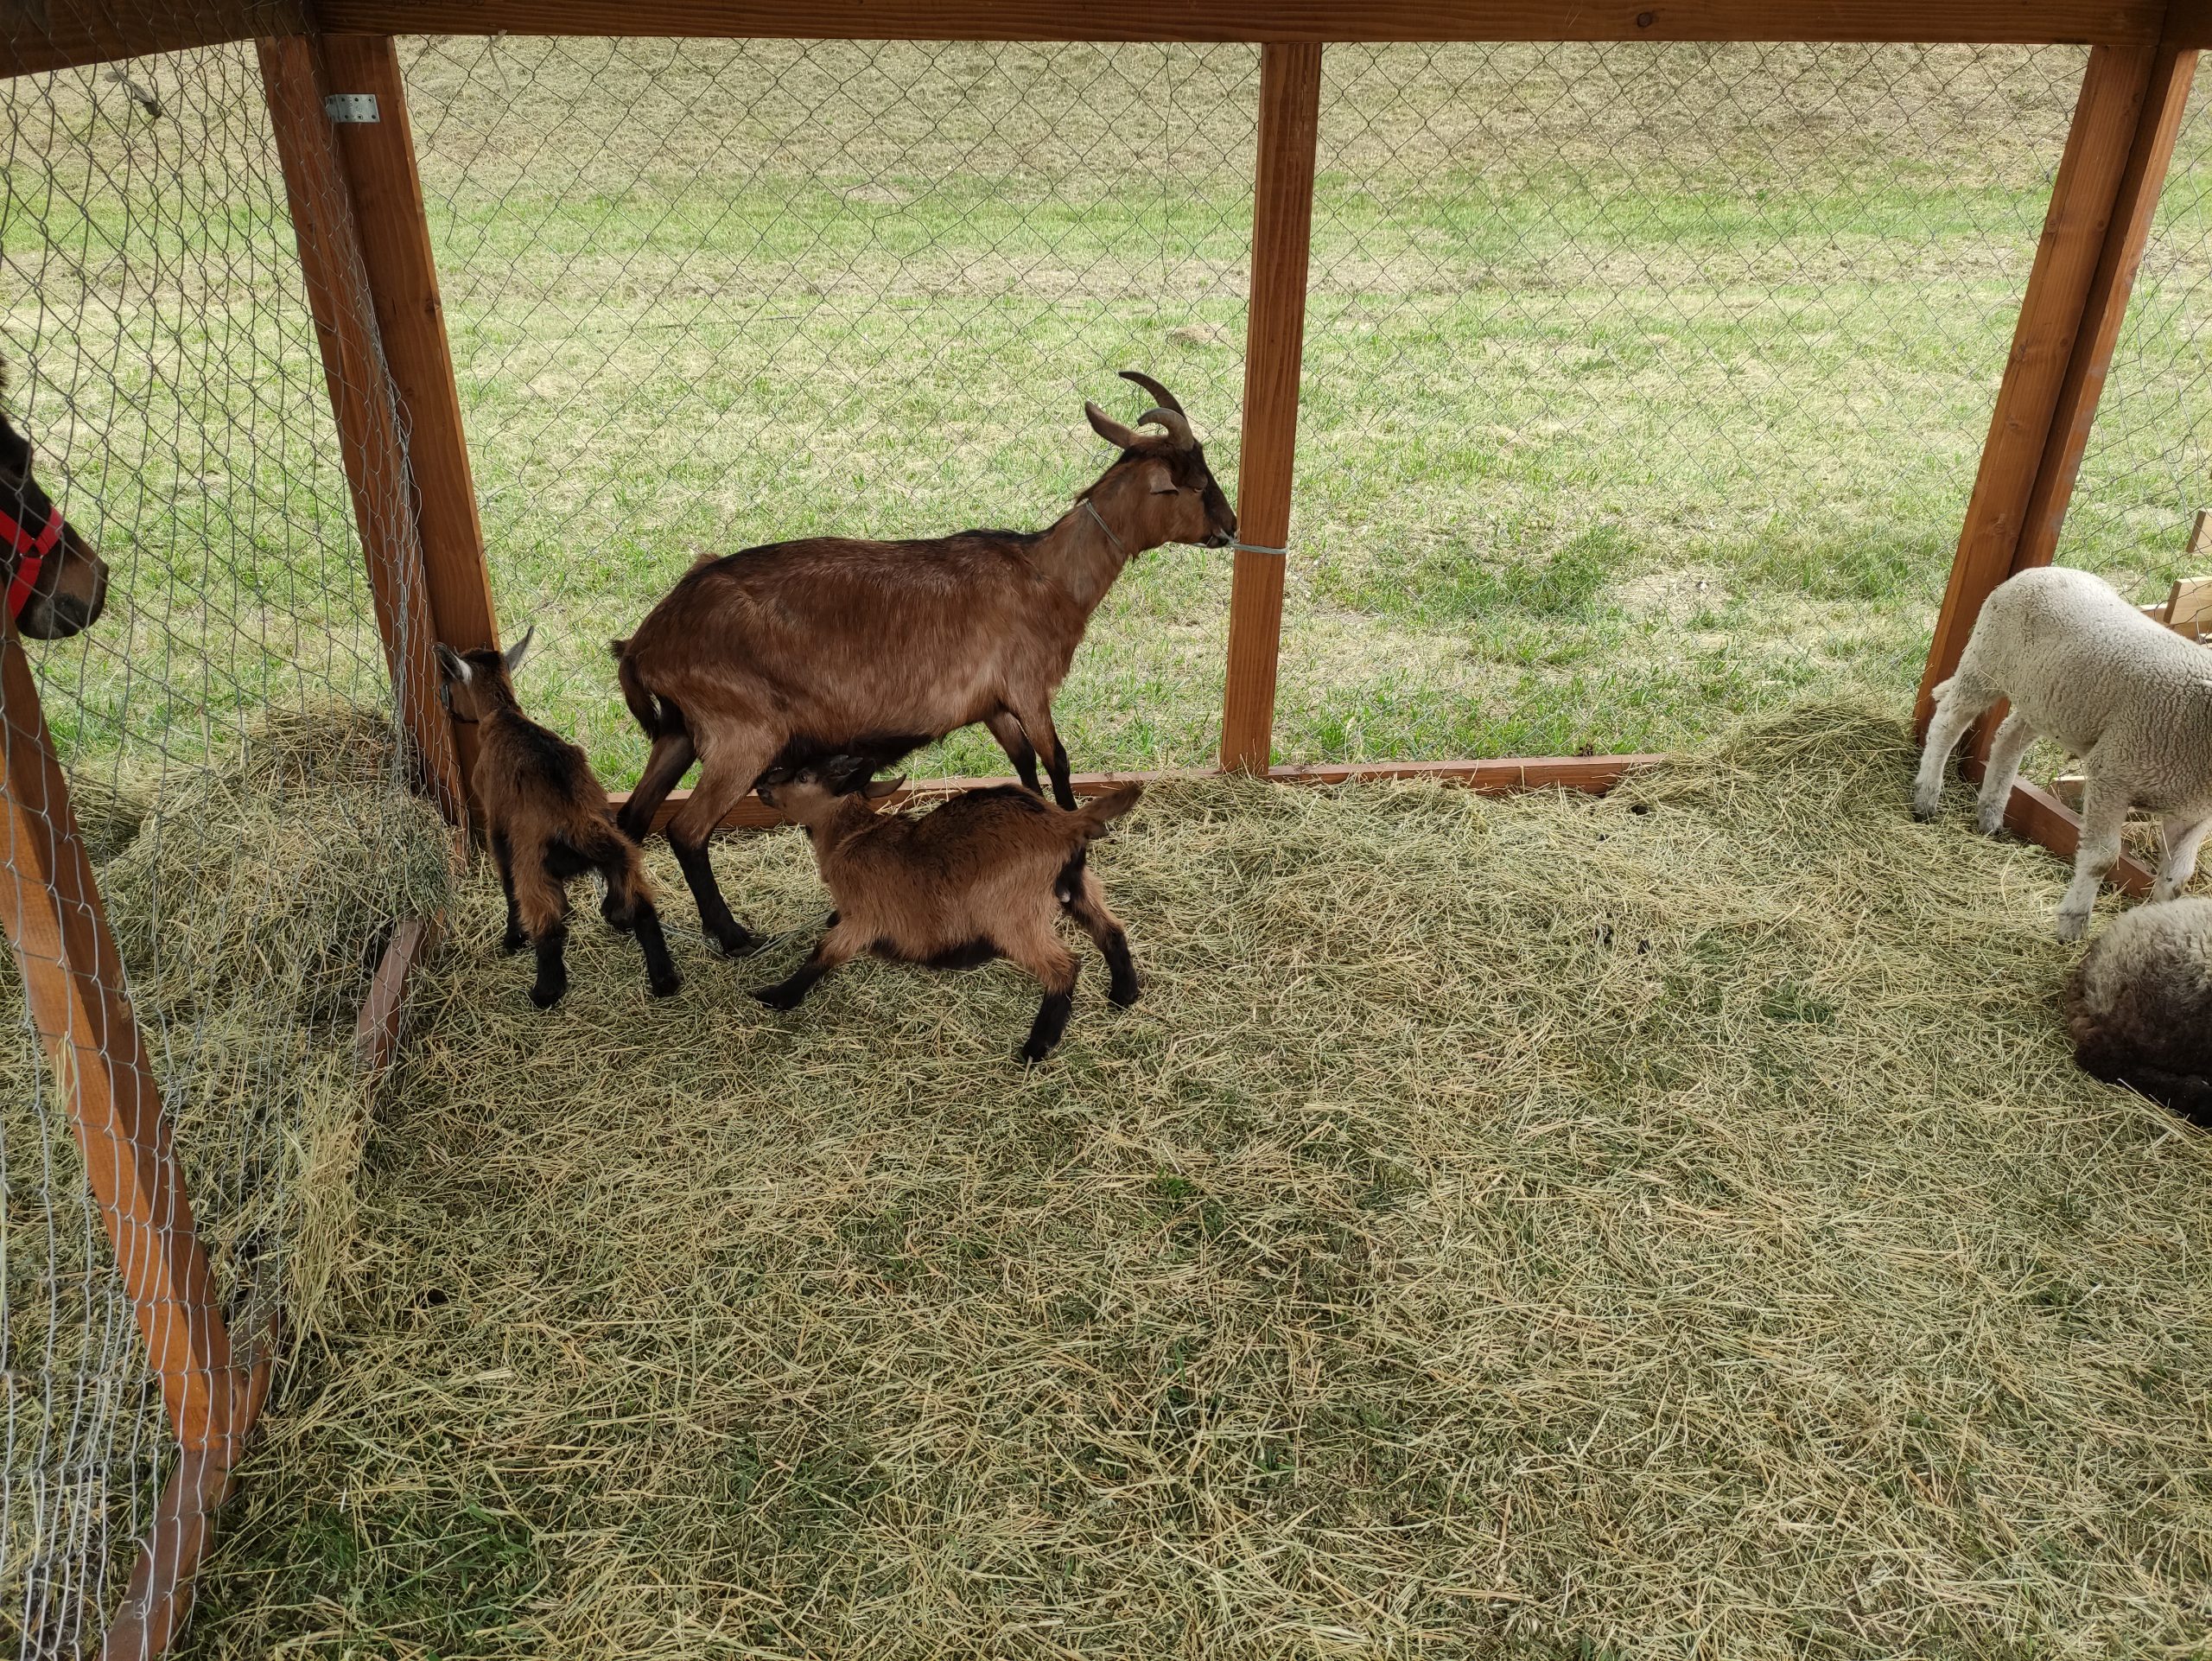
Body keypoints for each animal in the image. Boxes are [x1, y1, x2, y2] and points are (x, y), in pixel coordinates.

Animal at [614, 369, 1238, 955]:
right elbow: (1057, 764)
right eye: (1197, 484)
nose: (1230, 527)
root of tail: (648, 640)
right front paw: (1076, 855)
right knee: (686, 831)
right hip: (741, 736)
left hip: (679, 732)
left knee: (633, 819)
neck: (1046, 576)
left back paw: (625, 919)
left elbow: (1024, 771)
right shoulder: (1029, 688)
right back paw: (732, 935)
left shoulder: (992, 705)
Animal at [1910, 566, 2212, 942]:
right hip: (1985, 661)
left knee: (2008, 739)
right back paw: (1926, 797)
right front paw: (2073, 922)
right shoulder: (2113, 773)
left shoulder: (2192, 812)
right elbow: (2102, 858)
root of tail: (2042, 570)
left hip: (2044, 698)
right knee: (1949, 721)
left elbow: (2177, 878)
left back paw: (1990, 815)